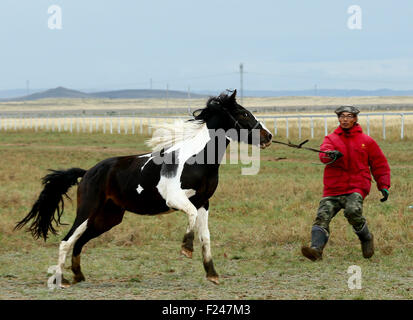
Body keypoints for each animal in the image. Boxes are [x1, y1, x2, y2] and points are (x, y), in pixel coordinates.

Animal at [15, 89, 274, 286]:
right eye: (242, 113)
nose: (268, 136)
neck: (197, 159)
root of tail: (88, 172)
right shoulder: (176, 199)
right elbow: (190, 219)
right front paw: (185, 249)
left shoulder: (204, 203)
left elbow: (206, 237)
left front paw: (212, 275)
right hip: (87, 211)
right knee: (67, 241)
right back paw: (61, 280)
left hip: (108, 218)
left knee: (79, 242)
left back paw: (78, 275)